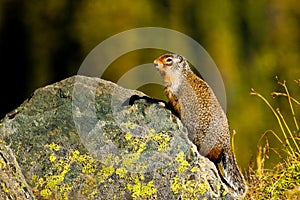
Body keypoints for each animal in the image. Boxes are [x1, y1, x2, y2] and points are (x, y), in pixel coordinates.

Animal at [154, 53, 247, 198]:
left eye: (168, 60)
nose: (154, 62)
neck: (181, 75)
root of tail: (226, 144)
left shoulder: (174, 94)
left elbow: (172, 105)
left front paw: (162, 104)